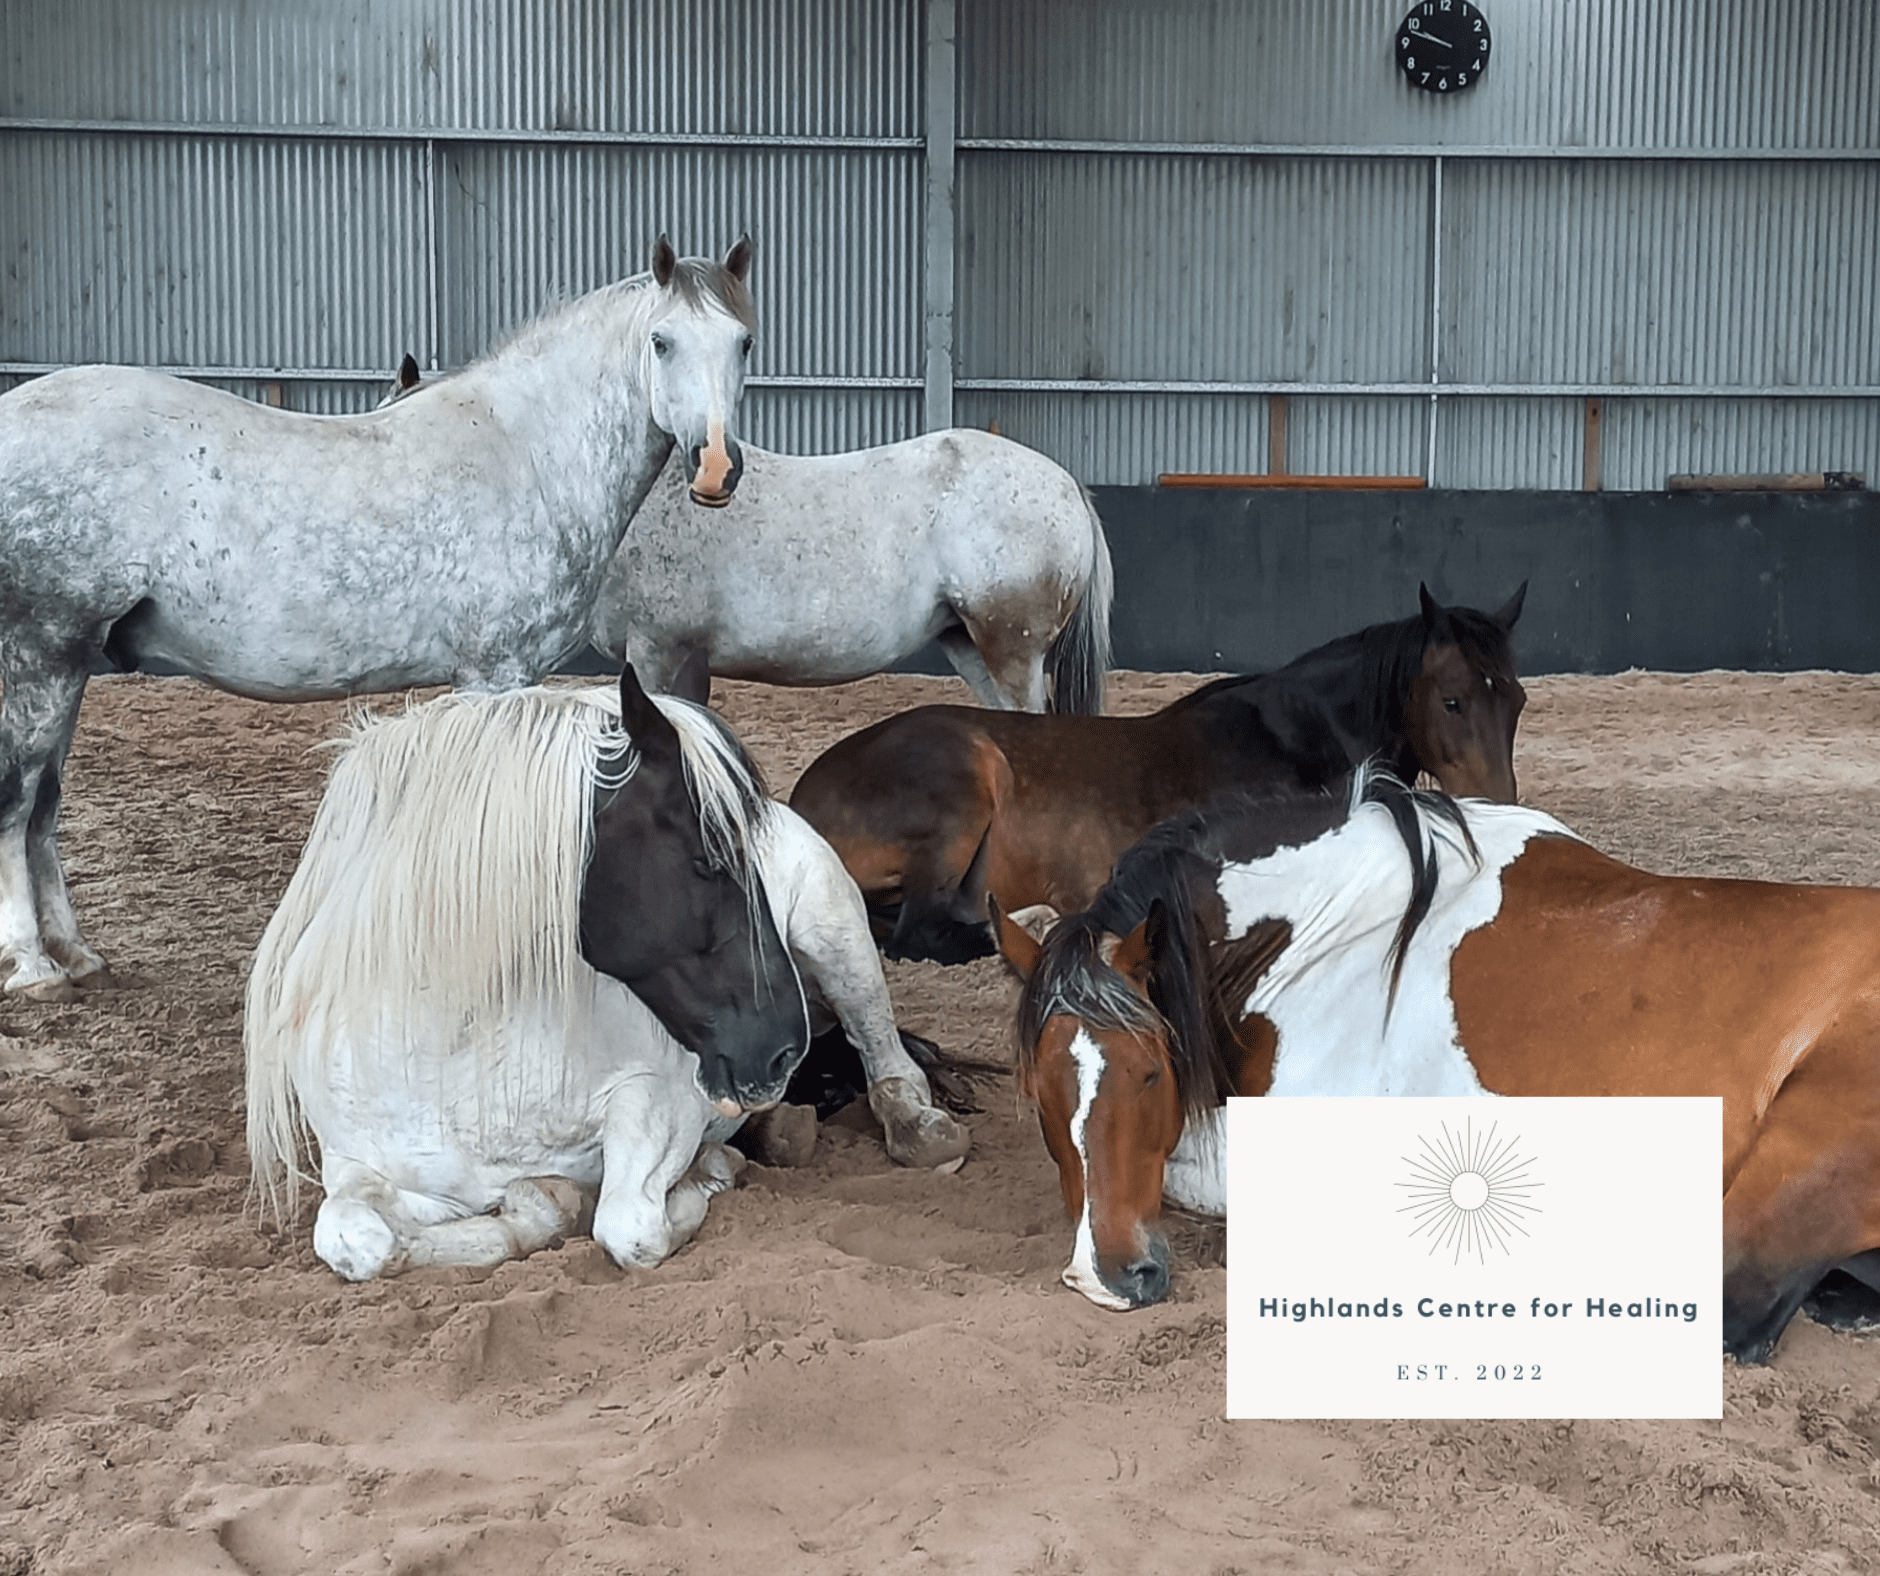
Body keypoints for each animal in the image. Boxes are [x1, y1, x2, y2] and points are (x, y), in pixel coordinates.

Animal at [0, 235, 756, 1000]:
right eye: (661, 341)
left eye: (742, 341)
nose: (716, 468)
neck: (527, 452)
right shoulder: (497, 673)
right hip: (43, 659)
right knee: (20, 800)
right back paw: (35, 966)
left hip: (68, 668)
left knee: (45, 809)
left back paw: (77, 954)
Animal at [246, 665, 968, 1282]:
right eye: (708, 860)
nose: (784, 1046)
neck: (456, 1048)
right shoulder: (360, 1168)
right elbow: (356, 1239)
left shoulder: (661, 1102)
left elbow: (628, 1227)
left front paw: (708, 1171)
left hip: (837, 936)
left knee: (886, 1057)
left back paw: (917, 1131)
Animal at [789, 584, 1526, 965]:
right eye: (1452, 700)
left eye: (1516, 699)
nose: (1499, 805)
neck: (1291, 744)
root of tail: (800, 799)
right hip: (963, 790)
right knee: (918, 933)